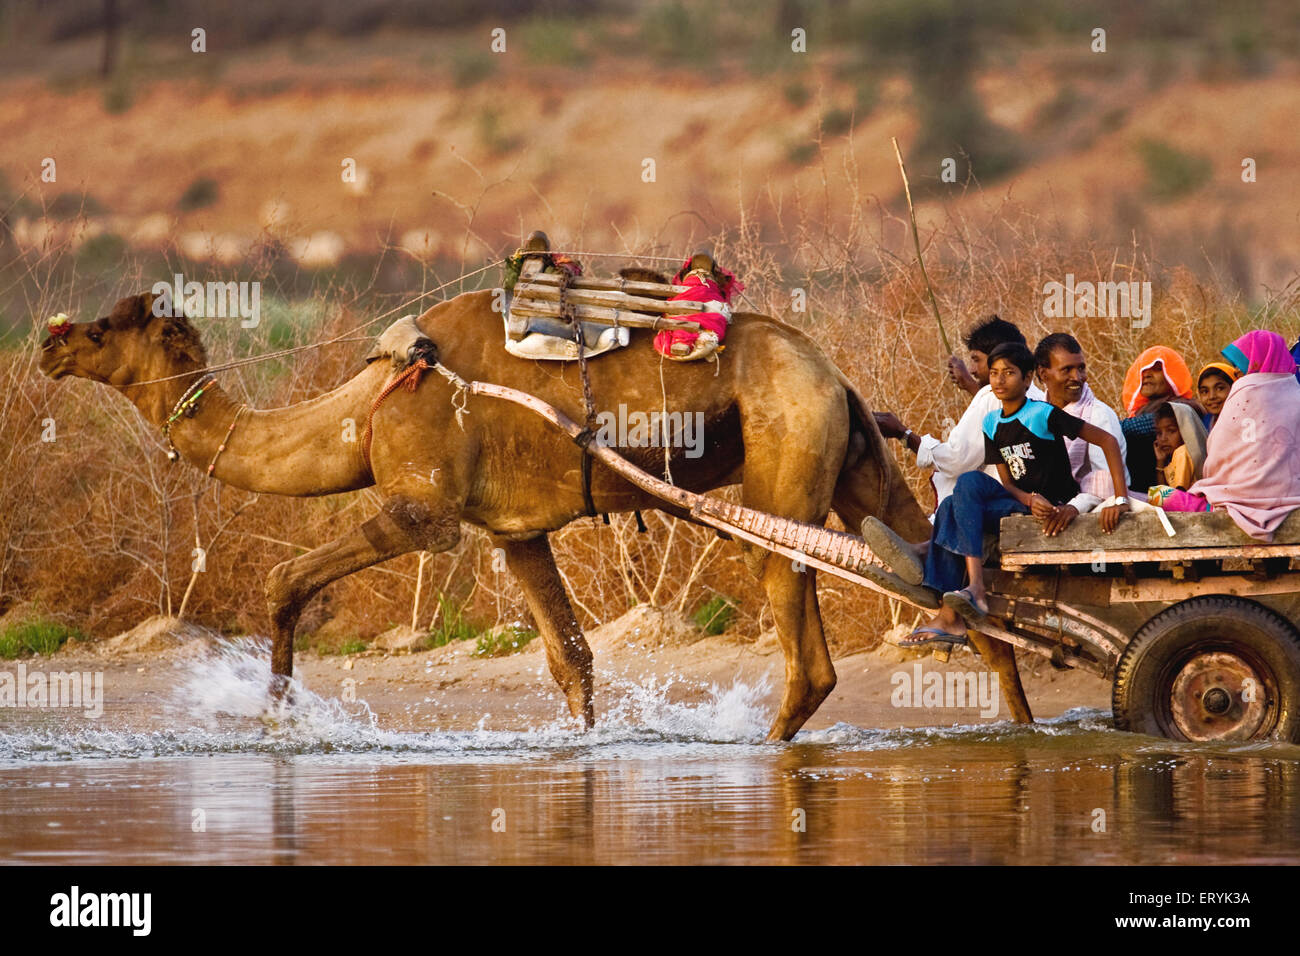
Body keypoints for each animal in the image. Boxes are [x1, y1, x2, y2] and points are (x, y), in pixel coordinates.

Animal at [35, 287, 1034, 738]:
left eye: (101, 330)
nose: (46, 347)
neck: (366, 410)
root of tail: (832, 372)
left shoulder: (424, 506)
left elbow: (284, 577)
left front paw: (280, 712)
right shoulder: (515, 533)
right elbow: (573, 662)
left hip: (786, 464)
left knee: (809, 642)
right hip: (858, 461)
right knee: (961, 585)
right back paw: (1025, 725)